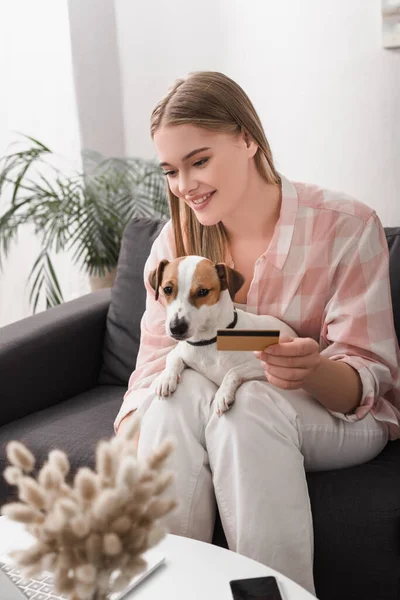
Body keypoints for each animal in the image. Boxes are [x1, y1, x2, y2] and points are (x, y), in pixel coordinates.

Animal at [148, 255, 296, 414]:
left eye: (203, 291)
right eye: (167, 289)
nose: (176, 328)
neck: (207, 342)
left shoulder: (263, 367)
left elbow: (232, 371)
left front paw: (223, 394)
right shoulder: (180, 352)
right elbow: (172, 358)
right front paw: (166, 378)